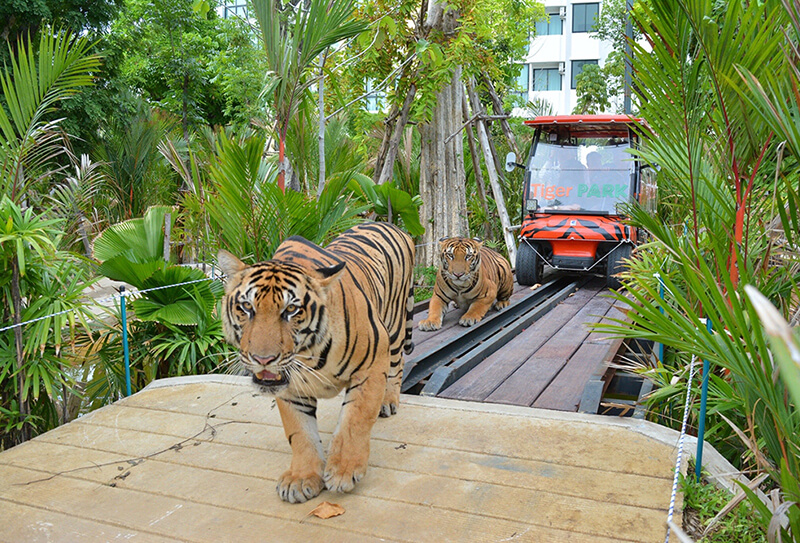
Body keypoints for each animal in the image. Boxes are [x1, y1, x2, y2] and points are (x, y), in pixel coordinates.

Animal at [220, 223, 418, 504]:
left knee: (397, 362)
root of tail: (390, 224)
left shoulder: (372, 364)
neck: (308, 356)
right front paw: (301, 478)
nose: (263, 359)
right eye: (246, 307)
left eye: (291, 310)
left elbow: (354, 420)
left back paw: (388, 402)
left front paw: (343, 472)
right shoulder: (290, 389)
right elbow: (300, 433)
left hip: (395, 327)